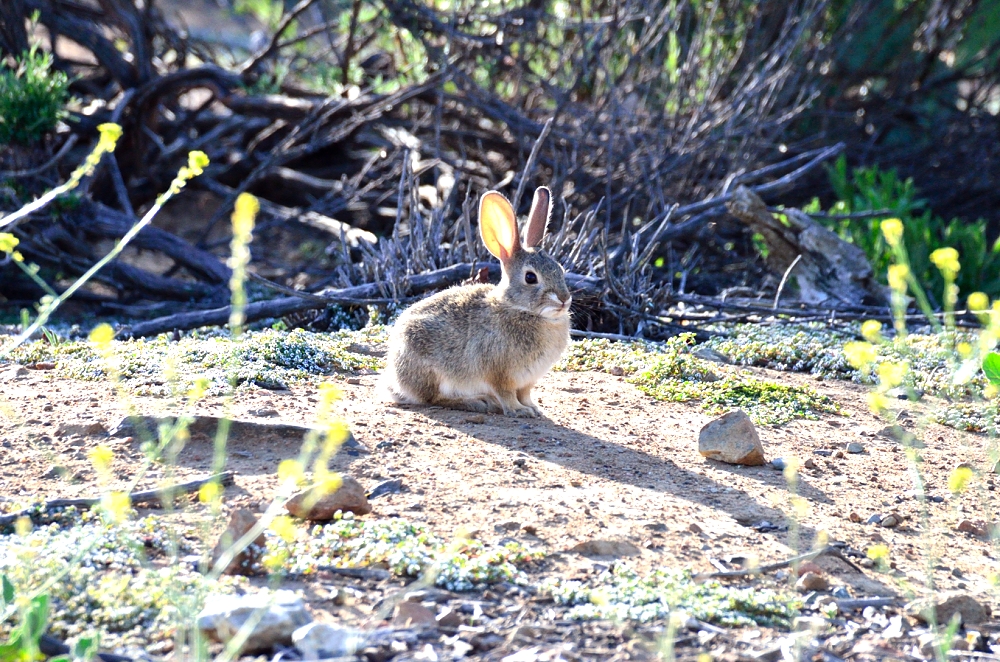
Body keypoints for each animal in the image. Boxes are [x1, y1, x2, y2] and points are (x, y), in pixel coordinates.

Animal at [382, 186, 572, 418]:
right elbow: (507, 395)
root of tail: (396, 382)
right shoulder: (500, 374)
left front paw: (535, 409)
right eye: (530, 277)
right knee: (433, 398)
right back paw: (478, 402)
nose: (564, 299)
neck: (520, 308)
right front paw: (520, 411)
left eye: (560, 269)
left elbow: (526, 394)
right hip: (431, 371)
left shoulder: (527, 381)